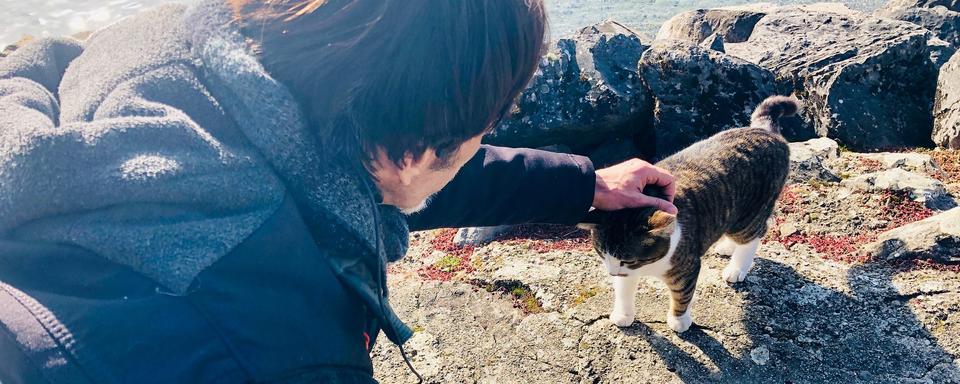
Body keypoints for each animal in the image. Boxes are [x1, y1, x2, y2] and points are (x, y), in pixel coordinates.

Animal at [580, 96, 800, 332]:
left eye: (627, 259)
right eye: (601, 253)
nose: (611, 272)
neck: (649, 265)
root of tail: (765, 130)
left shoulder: (685, 266)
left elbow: (682, 295)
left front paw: (679, 320)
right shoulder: (627, 272)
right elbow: (624, 290)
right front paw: (623, 314)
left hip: (751, 213)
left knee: (754, 235)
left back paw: (737, 267)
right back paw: (726, 246)